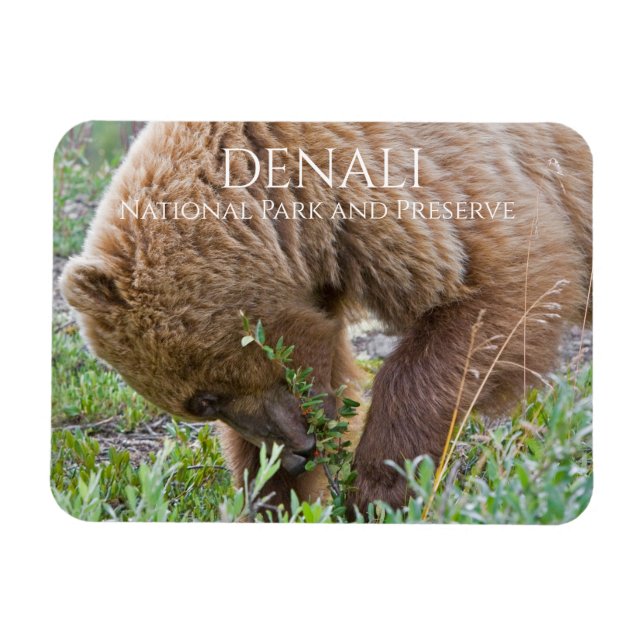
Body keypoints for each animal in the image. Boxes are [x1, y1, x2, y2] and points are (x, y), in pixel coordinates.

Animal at [60, 122, 592, 515]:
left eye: (206, 398)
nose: (295, 454)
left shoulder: (421, 181)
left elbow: (506, 287)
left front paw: (375, 491)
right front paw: (273, 499)